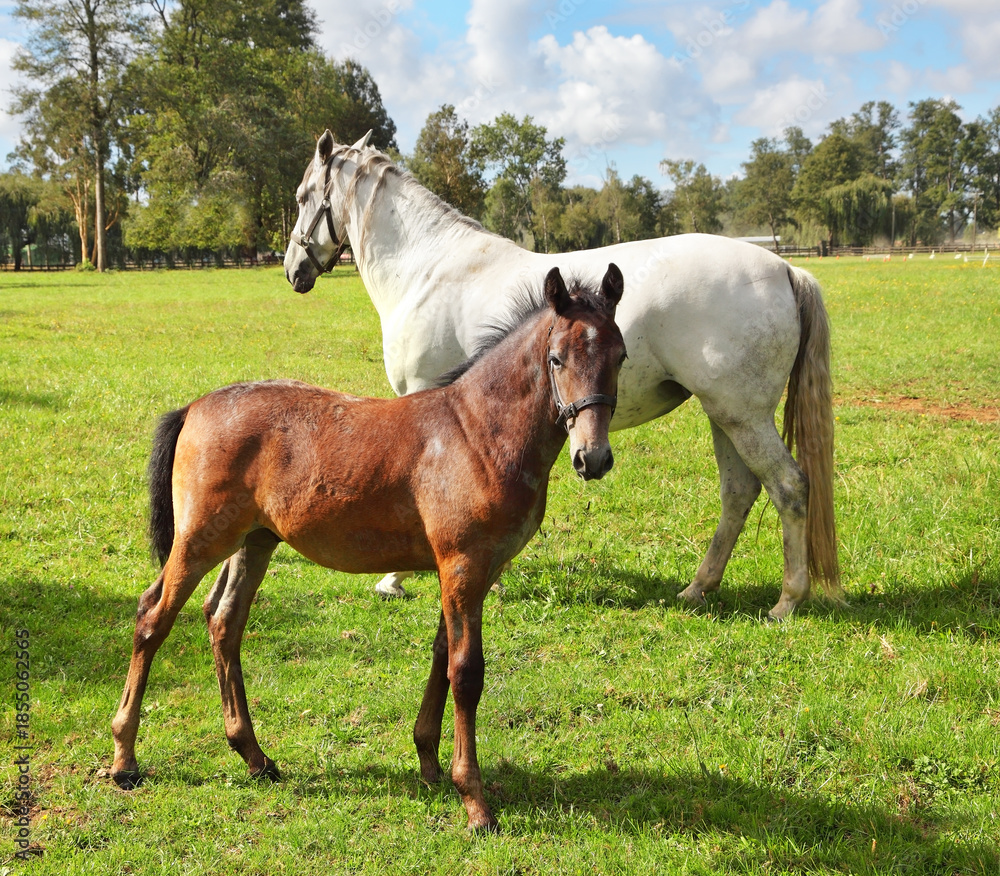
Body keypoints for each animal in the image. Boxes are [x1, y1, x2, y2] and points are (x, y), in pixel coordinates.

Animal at [111, 265, 627, 832]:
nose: (593, 457)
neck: (478, 435)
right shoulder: (463, 565)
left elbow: (441, 655)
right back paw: (124, 760)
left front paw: (428, 762)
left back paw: (255, 756)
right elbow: (467, 672)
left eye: (621, 356)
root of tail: (195, 407)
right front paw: (474, 801)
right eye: (556, 358)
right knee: (152, 616)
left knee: (224, 621)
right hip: (201, 539)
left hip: (253, 542)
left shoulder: (473, 570)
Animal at [283, 130, 841, 620]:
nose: (292, 270)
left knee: (789, 486)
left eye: (302, 196)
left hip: (743, 416)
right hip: (724, 414)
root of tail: (785, 268)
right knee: (739, 493)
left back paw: (787, 601)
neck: (429, 268)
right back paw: (698, 588)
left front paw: (394, 580)